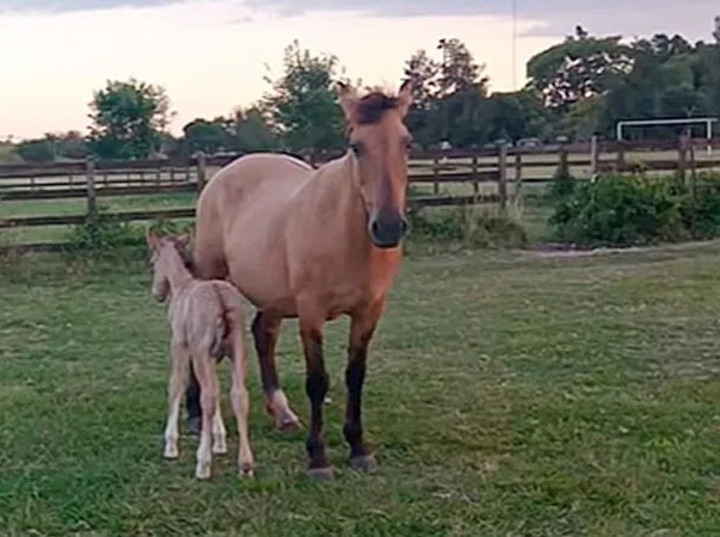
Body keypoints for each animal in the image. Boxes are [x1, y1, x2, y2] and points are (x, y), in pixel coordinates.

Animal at [145, 231, 255, 479]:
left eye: (152, 263)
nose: (157, 293)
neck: (182, 285)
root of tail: (221, 301)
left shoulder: (180, 346)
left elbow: (176, 385)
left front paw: (170, 445)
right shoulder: (212, 356)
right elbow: (216, 388)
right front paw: (220, 441)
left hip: (200, 352)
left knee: (209, 398)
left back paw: (203, 464)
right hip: (238, 350)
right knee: (238, 394)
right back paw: (245, 464)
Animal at [184, 80, 413, 479]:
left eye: (406, 143)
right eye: (356, 146)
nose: (386, 227)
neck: (344, 232)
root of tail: (223, 176)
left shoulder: (369, 311)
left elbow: (355, 375)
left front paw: (358, 448)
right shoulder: (311, 311)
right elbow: (317, 380)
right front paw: (318, 458)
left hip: (273, 296)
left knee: (263, 334)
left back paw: (282, 412)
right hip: (212, 275)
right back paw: (197, 415)